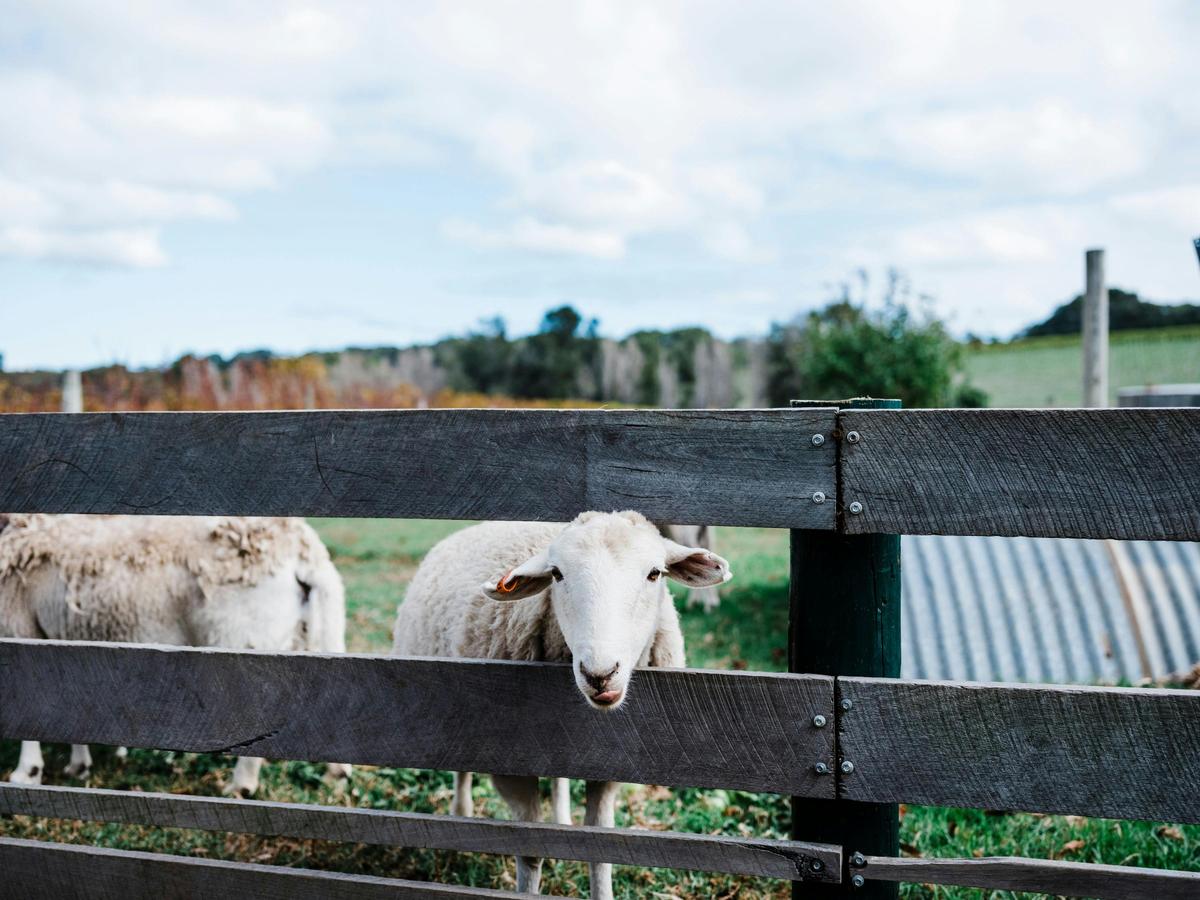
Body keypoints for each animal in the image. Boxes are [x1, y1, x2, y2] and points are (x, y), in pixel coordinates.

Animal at [0, 513, 350, 796]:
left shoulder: (20, 630)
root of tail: (302, 548)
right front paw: (79, 764)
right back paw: (338, 773)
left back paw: (242, 785)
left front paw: (27, 772)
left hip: (247, 642)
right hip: (322, 635)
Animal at [391, 510, 731, 899]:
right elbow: (531, 854)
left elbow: (601, 854)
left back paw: (562, 819)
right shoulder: (511, 769)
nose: (600, 674)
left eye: (654, 574)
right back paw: (460, 812)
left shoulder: (609, 769)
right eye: (556, 574)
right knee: (461, 767)